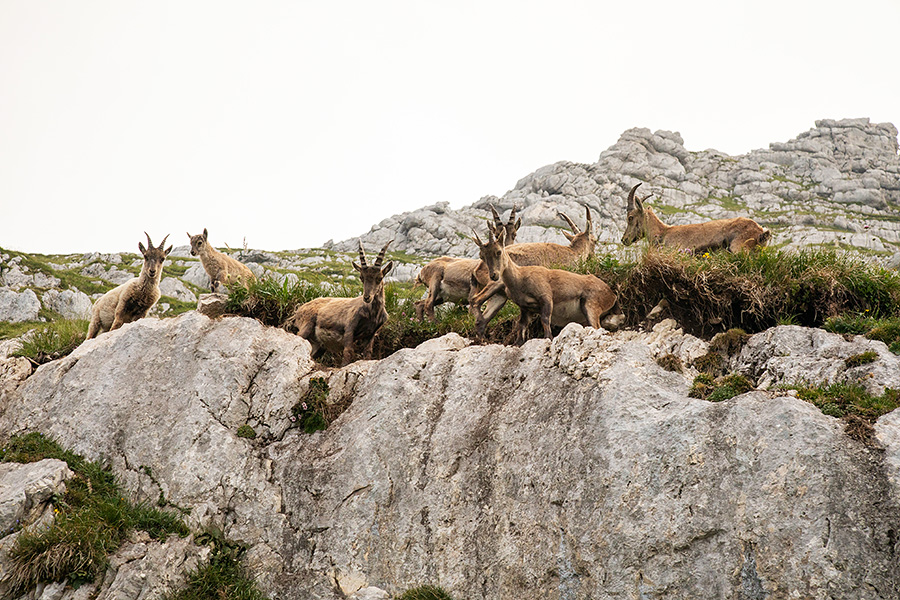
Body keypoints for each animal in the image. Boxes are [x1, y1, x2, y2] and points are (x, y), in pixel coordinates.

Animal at [471, 226, 616, 344]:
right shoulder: (529, 306)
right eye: (482, 255)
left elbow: (544, 320)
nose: (494, 275)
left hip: (590, 305)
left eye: (498, 251)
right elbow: (525, 326)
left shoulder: (545, 298)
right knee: (476, 301)